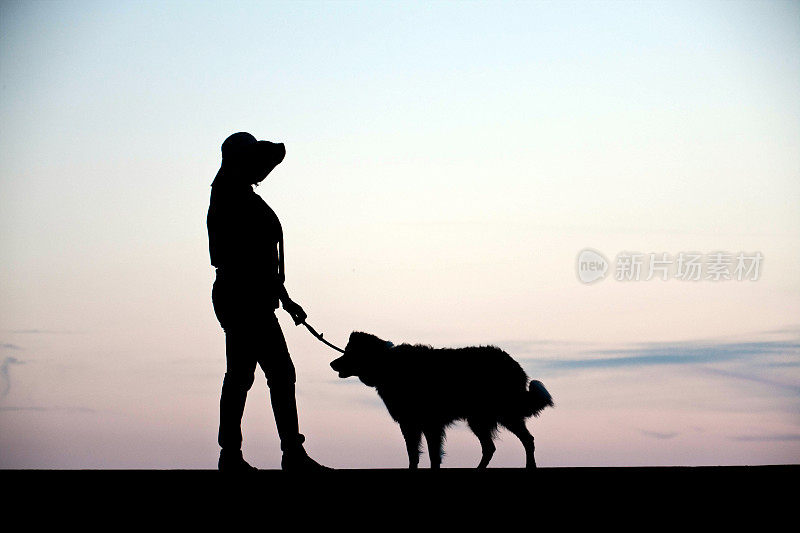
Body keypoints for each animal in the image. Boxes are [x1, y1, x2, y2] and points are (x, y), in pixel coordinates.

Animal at [328, 330, 552, 468]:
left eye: (349, 352)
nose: (332, 363)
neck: (385, 364)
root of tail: (514, 363)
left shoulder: (429, 423)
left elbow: (432, 455)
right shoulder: (411, 423)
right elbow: (414, 455)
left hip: (503, 413)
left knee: (526, 440)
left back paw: (530, 467)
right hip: (479, 419)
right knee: (491, 447)